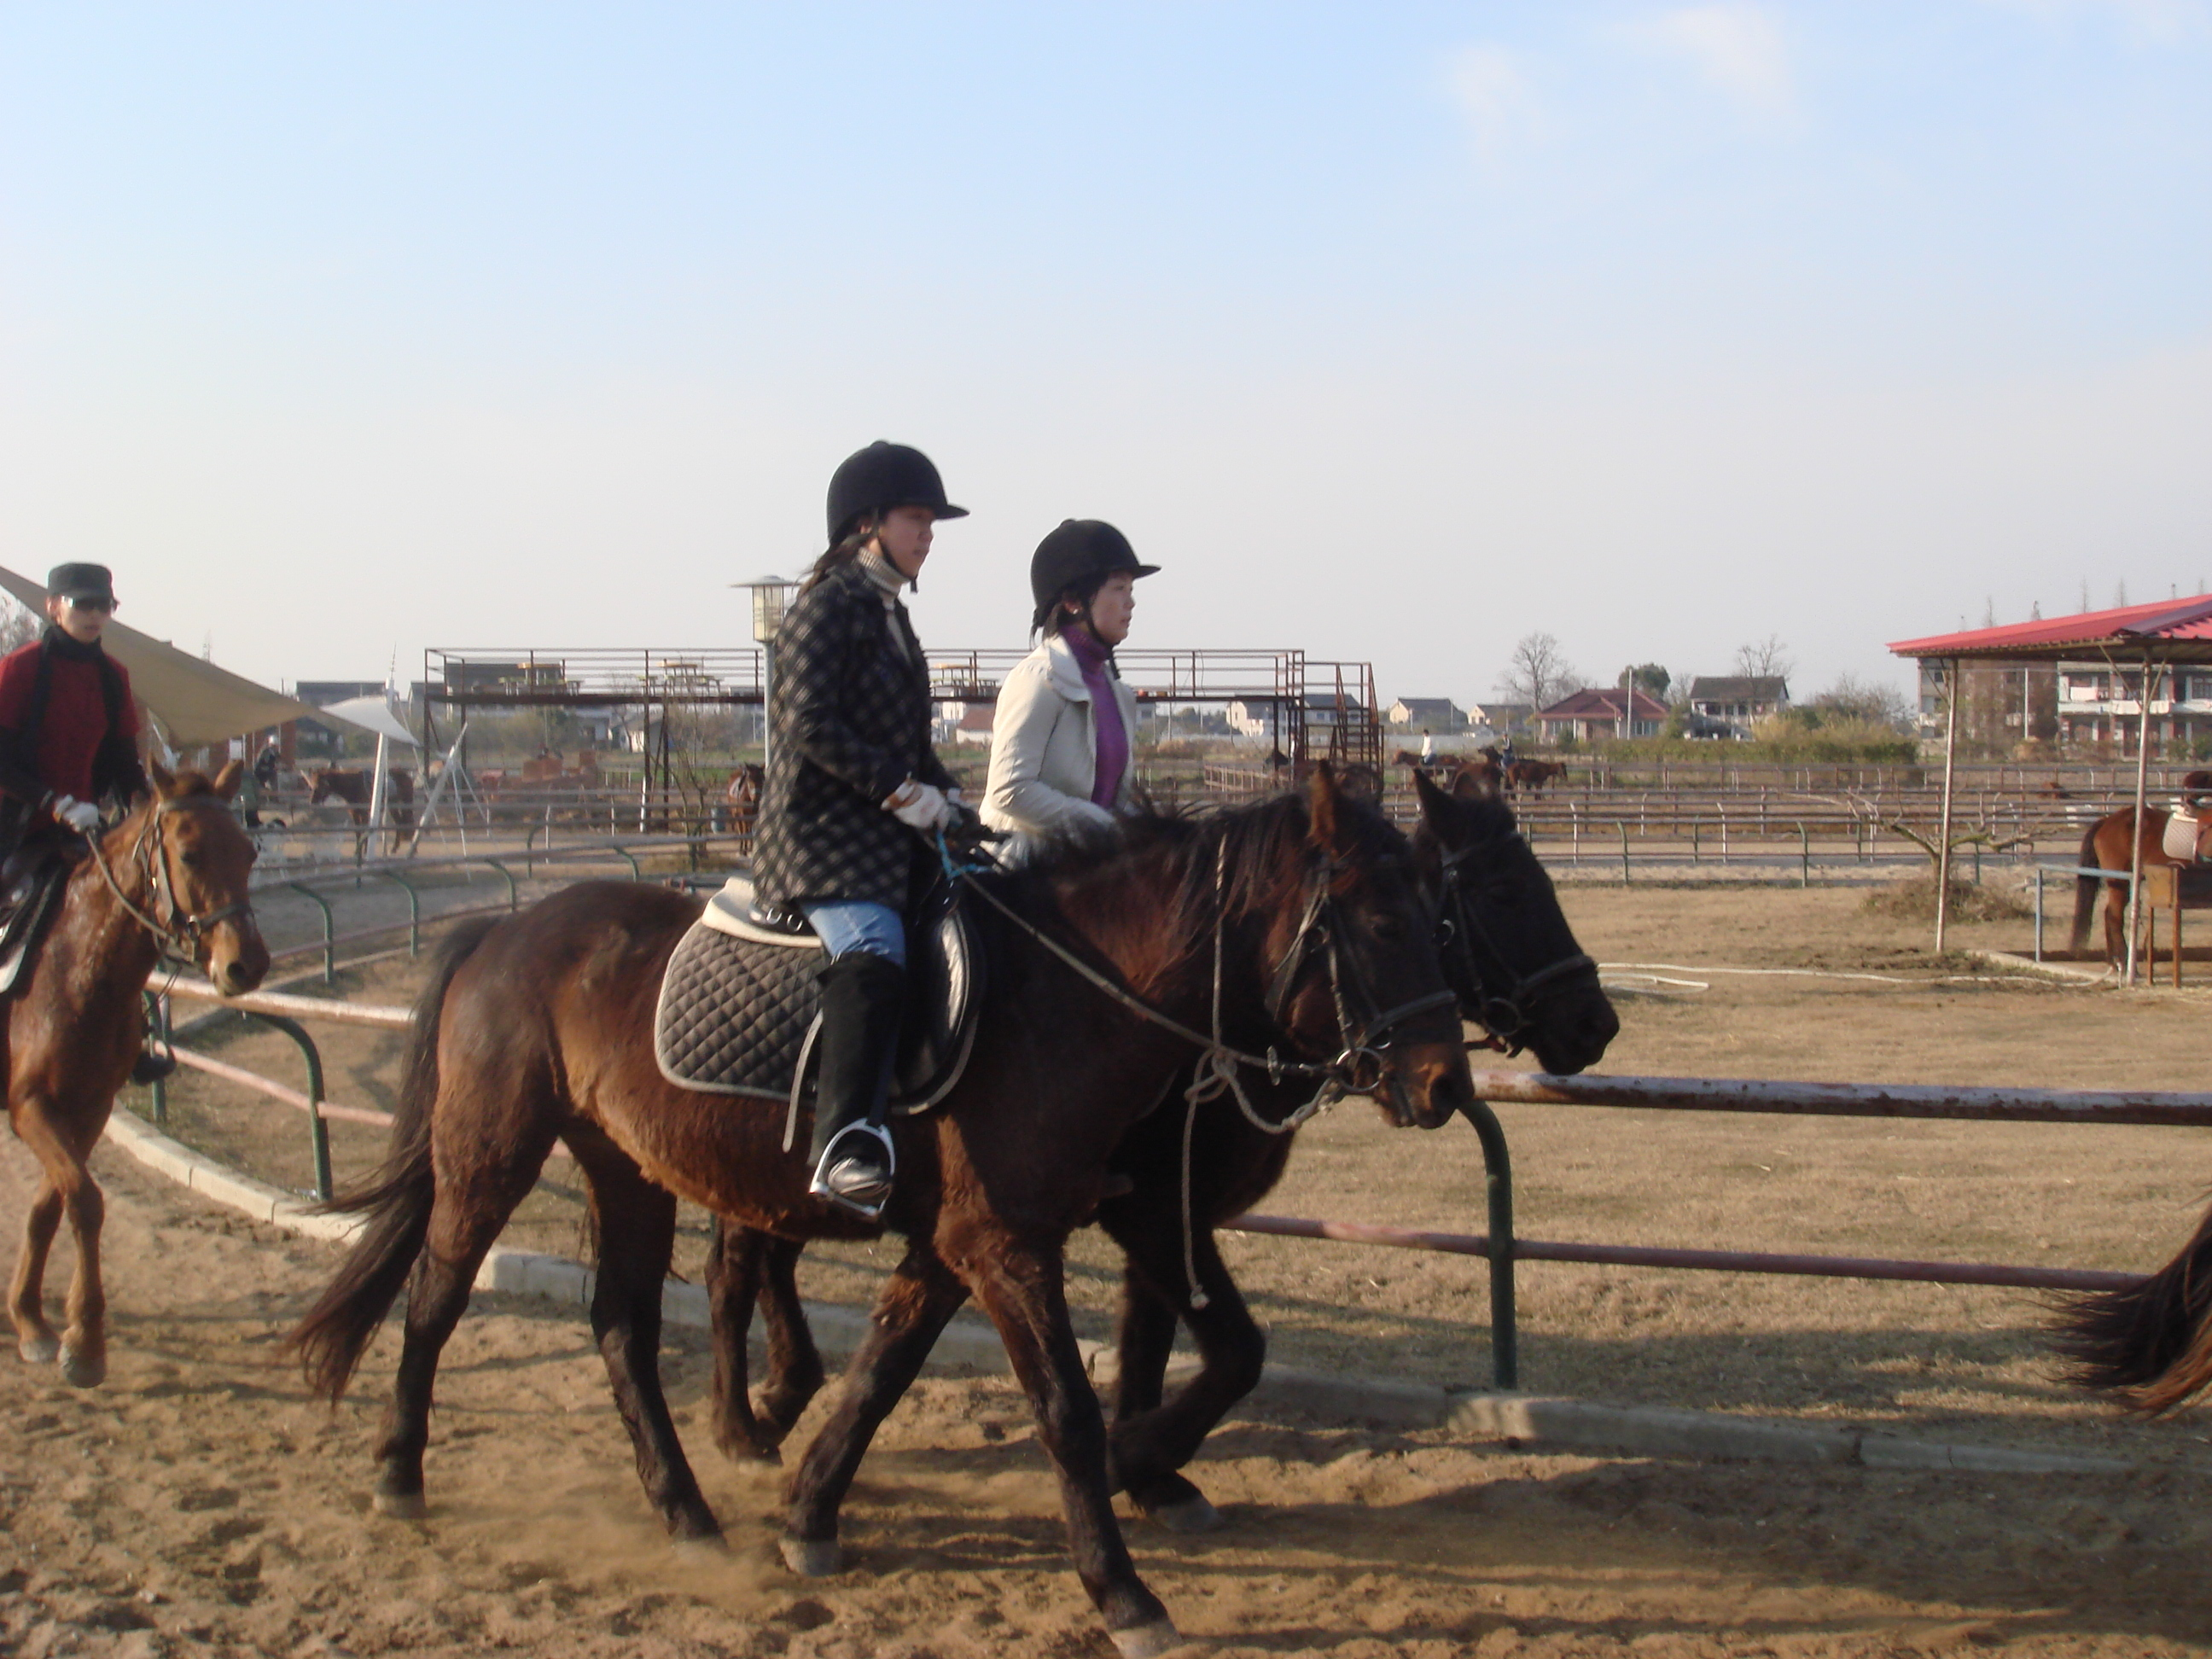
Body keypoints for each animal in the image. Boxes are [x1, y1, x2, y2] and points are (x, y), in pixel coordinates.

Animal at [7, 765, 271, 1388]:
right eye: (190, 853)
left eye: (249, 851)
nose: (246, 965)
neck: (75, 968)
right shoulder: (30, 1105)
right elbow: (84, 1200)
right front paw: (84, 1342)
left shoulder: (89, 1107)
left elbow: (51, 1204)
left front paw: (31, 1318)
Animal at [289, 770, 1469, 1659]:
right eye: (1380, 918)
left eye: (1438, 912)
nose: (1445, 1085)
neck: (1062, 999)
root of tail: (507, 928)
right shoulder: (1006, 1244)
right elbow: (1065, 1413)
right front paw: (1125, 1593)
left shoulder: (962, 1242)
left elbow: (882, 1370)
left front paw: (810, 1515)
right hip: (491, 1154)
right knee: (438, 1296)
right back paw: (400, 1474)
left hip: (625, 1168)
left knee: (621, 1326)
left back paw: (687, 1511)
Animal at [707, 765, 1627, 1530]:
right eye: (1503, 892)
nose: (1595, 1022)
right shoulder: (1152, 1211)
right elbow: (1227, 1352)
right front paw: (1136, 1461)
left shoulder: (1160, 1217)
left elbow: (1154, 1340)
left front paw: (1148, 1471)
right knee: (739, 1261)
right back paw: (750, 1418)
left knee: (762, 1250)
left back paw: (771, 1406)